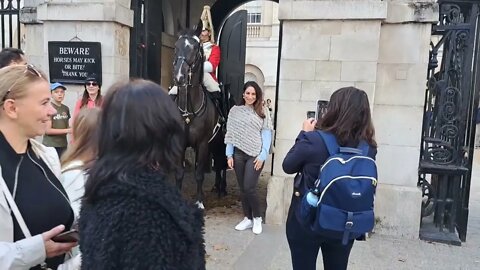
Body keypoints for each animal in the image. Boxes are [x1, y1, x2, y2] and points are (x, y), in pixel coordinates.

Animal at [172, 27, 227, 208]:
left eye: (195, 48)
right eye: (176, 47)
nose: (179, 77)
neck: (189, 109)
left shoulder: (203, 144)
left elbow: (199, 174)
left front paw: (199, 202)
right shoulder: (179, 143)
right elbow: (179, 172)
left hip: (220, 141)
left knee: (222, 162)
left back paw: (222, 188)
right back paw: (217, 186)